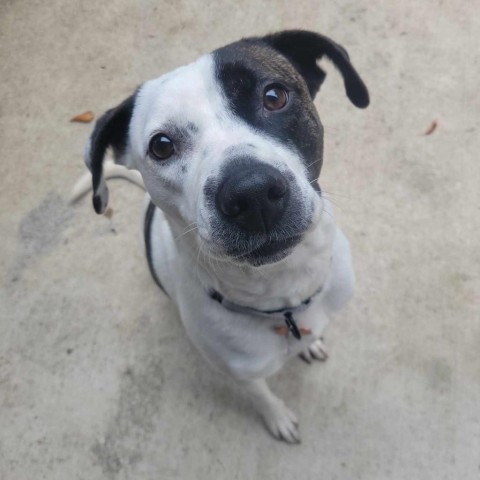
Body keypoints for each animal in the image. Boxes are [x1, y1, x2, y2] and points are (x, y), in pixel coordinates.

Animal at [77, 30, 370, 442]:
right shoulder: (241, 374)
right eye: (161, 146)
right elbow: (262, 396)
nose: (252, 194)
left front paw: (310, 347)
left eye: (274, 96)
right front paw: (278, 418)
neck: (282, 296)